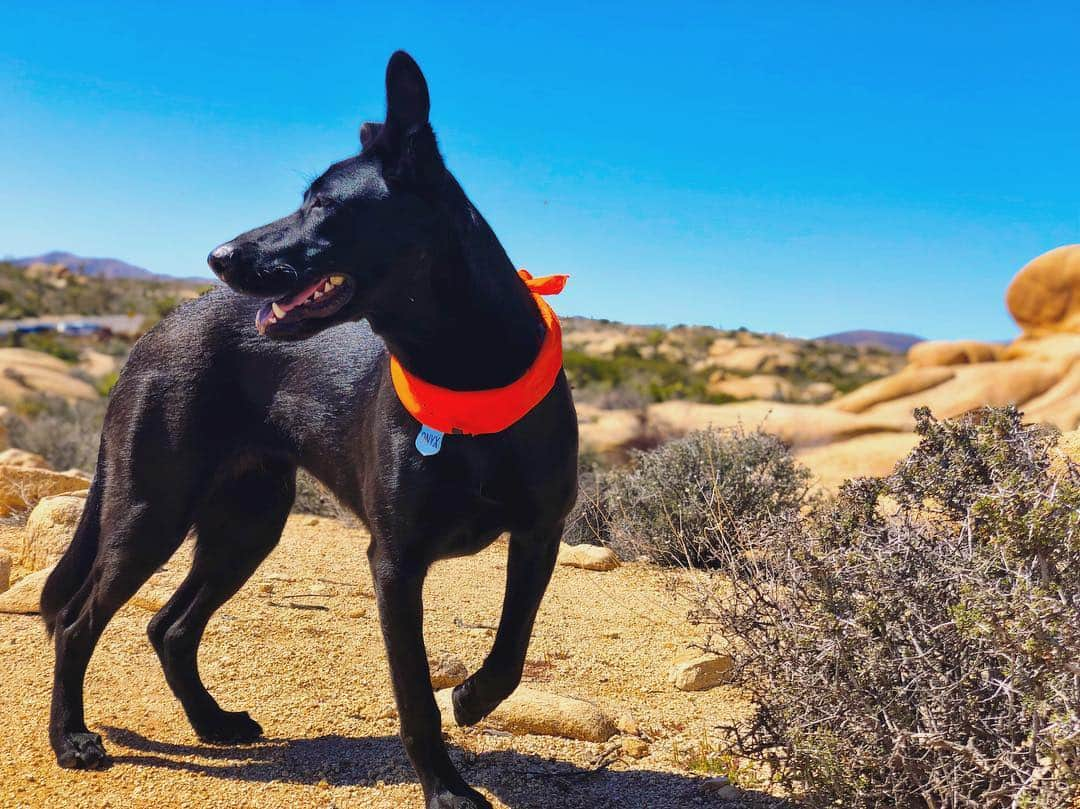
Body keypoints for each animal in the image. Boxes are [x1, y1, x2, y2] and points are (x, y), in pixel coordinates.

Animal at [41, 52, 578, 807]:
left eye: (322, 204)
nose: (218, 254)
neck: (465, 378)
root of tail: (152, 334)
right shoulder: (394, 562)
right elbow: (415, 697)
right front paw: (444, 788)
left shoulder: (539, 533)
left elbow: (510, 651)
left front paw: (471, 698)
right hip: (151, 509)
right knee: (77, 619)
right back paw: (71, 738)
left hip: (248, 522)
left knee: (167, 626)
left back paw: (212, 721)